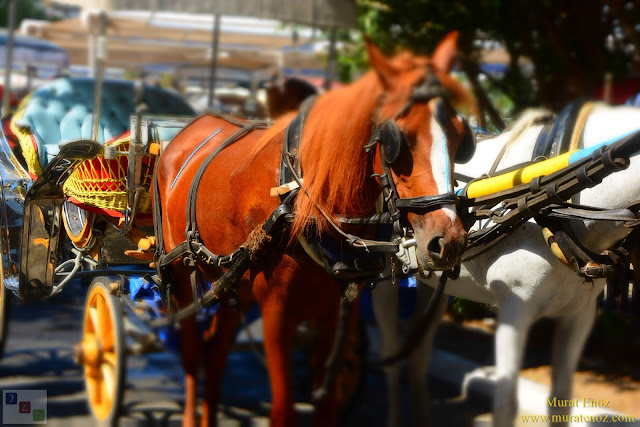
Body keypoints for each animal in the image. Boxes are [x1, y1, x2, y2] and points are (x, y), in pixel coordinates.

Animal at [156, 33, 476, 427]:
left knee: (215, 353)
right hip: (180, 271)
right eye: (397, 139)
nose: (449, 242)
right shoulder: (277, 310)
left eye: (462, 138)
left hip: (234, 280)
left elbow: (327, 407)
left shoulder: (338, 308)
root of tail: (185, 134)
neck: (305, 195)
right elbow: (282, 411)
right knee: (190, 354)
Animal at [372, 103, 640, 427]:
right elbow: (505, 403)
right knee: (390, 354)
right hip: (383, 277)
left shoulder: (579, 315)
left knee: (418, 354)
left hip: (434, 282)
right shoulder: (516, 307)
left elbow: (561, 400)